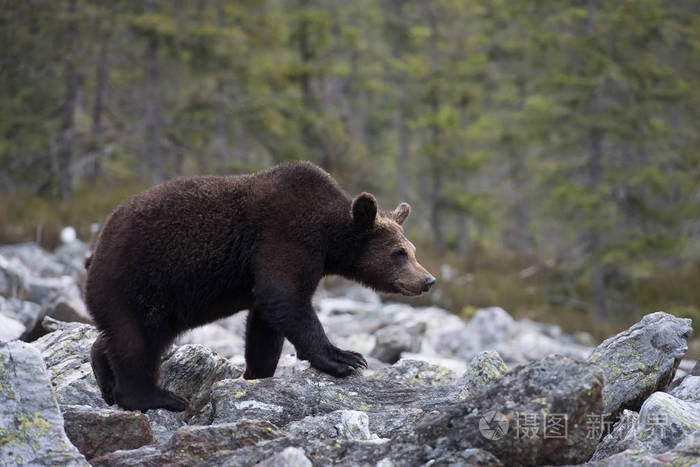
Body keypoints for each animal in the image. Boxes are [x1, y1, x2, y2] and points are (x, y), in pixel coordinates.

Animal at [85, 161, 436, 412]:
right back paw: (159, 397)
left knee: (125, 337)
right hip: (136, 282)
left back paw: (105, 377)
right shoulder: (285, 235)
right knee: (137, 341)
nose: (427, 280)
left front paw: (257, 373)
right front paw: (344, 358)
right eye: (399, 253)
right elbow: (285, 297)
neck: (328, 236)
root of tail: (96, 249)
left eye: (413, 250)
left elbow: (265, 324)